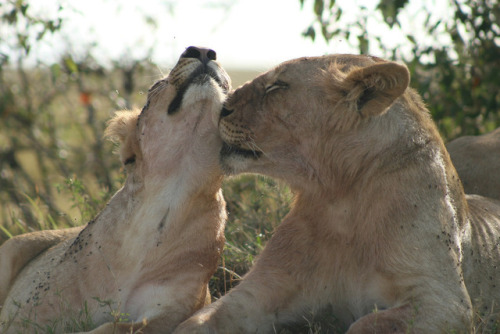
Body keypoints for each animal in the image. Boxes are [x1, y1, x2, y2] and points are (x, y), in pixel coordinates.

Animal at [175, 54, 500, 332]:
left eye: (278, 86)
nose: (220, 109)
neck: (339, 198)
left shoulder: (444, 302)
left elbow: (365, 325)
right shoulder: (261, 288)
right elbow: (195, 323)